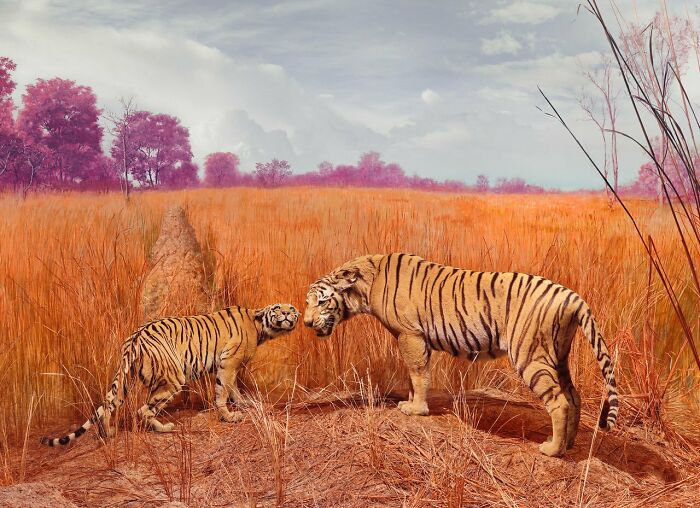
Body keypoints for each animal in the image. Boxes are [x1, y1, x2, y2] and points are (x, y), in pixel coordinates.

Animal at [41, 303, 299, 447]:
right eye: (278, 308)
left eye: (293, 309)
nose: (288, 313)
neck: (260, 327)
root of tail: (134, 339)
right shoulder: (228, 363)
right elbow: (223, 391)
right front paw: (229, 416)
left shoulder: (230, 366)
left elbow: (233, 388)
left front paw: (243, 403)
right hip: (174, 379)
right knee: (143, 409)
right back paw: (163, 428)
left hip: (125, 380)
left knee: (109, 404)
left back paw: (108, 434)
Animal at [303, 253, 618, 457]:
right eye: (308, 303)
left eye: (321, 301)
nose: (305, 323)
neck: (366, 285)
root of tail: (572, 295)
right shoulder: (409, 338)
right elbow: (411, 375)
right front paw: (409, 402)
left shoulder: (410, 335)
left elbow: (418, 374)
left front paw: (416, 409)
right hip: (557, 356)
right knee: (574, 396)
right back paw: (569, 444)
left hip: (531, 356)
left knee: (560, 401)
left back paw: (552, 449)